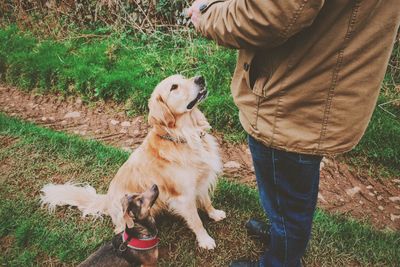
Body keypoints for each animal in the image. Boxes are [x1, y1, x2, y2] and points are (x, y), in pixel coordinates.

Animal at [42, 74, 227, 250]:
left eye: (184, 77)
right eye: (174, 87)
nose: (200, 78)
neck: (185, 136)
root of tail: (107, 200)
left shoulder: (201, 180)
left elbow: (206, 201)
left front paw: (214, 213)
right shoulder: (183, 195)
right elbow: (196, 221)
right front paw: (205, 240)